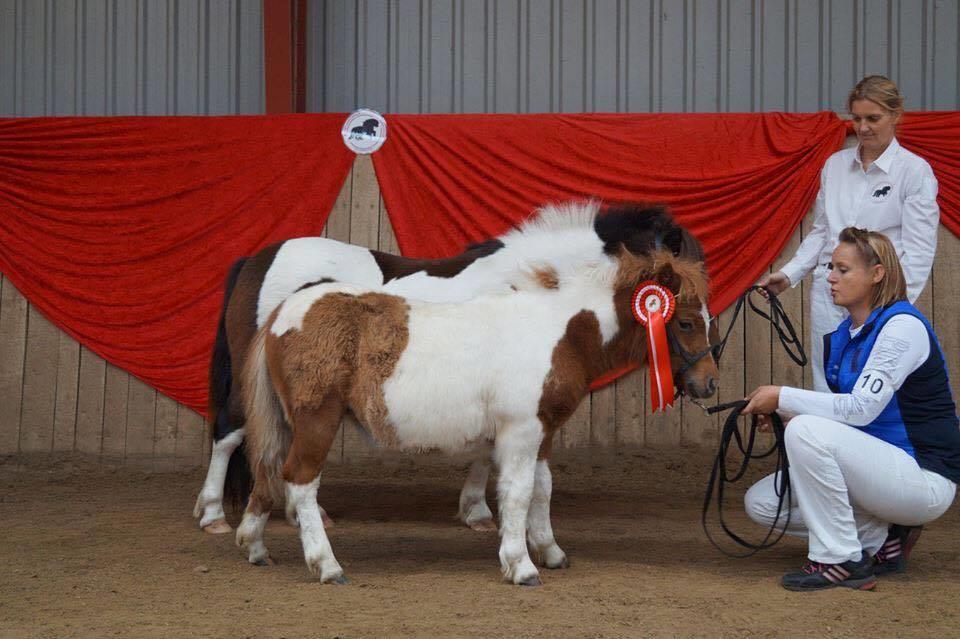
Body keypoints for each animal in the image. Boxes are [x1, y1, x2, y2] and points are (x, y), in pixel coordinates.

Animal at [195, 200, 708, 536]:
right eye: (682, 311)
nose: (704, 385)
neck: (533, 285)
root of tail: (256, 258)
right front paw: (480, 512)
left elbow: (484, 449)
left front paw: (474, 509)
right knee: (229, 433)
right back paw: (214, 514)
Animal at [238, 248, 720, 588]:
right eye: (686, 323)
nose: (710, 385)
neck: (555, 333)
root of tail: (282, 312)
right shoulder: (521, 431)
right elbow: (518, 493)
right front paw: (521, 565)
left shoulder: (542, 433)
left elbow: (543, 489)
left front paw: (550, 551)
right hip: (316, 421)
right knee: (300, 481)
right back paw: (327, 565)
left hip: (287, 424)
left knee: (268, 473)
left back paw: (254, 546)